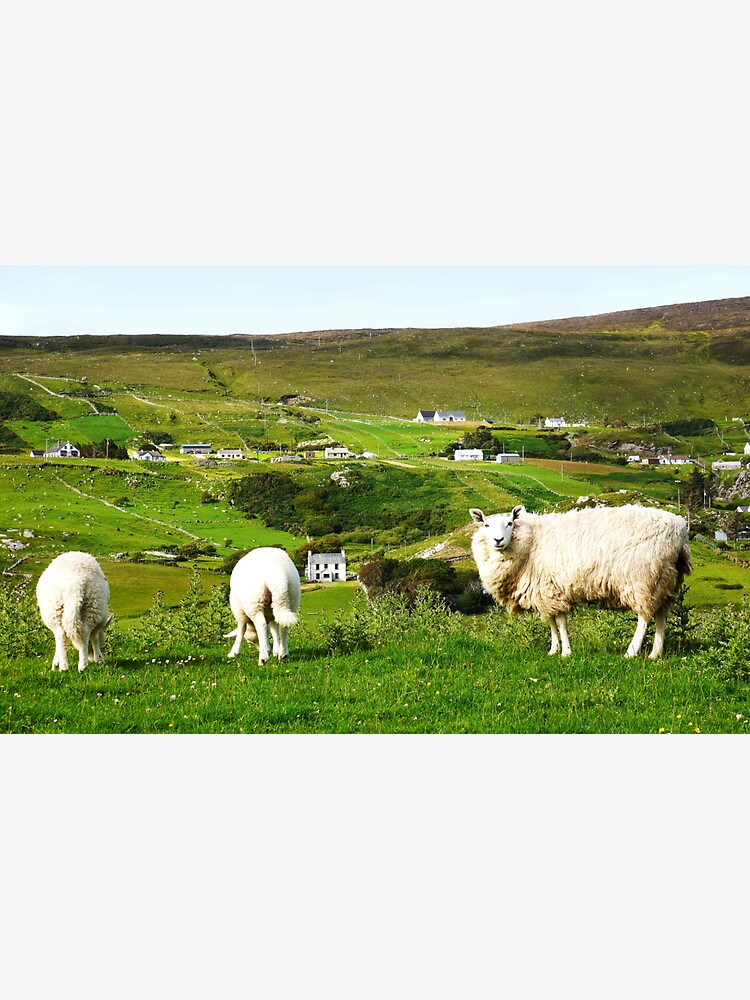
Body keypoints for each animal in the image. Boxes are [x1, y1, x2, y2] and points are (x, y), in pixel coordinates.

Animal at [469, 504, 692, 659]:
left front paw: (566, 652)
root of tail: (680, 530)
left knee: (644, 618)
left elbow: (560, 623)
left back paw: (632, 652)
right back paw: (655, 654)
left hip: (643, 579)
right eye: (486, 525)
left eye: (509, 523)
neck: (531, 541)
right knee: (661, 617)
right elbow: (551, 623)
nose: (498, 540)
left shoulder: (553, 589)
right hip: (665, 580)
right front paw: (553, 649)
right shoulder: (544, 592)